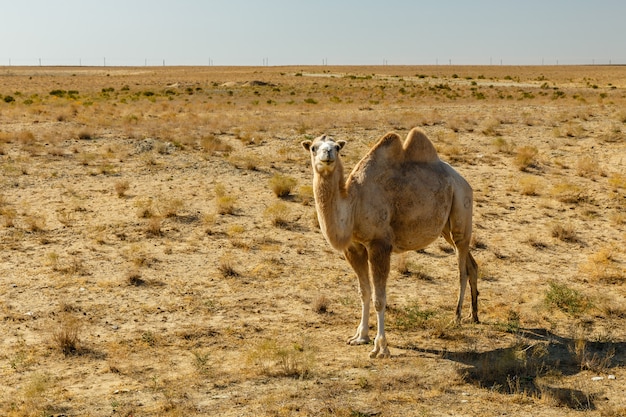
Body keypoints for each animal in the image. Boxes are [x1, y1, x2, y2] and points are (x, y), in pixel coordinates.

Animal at [302, 127, 478, 358]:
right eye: (313, 147)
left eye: (337, 147)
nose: (327, 153)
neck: (353, 205)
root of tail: (464, 181)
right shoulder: (354, 247)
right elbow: (364, 292)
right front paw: (360, 337)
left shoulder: (380, 245)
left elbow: (379, 299)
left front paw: (380, 348)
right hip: (445, 228)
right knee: (471, 263)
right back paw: (474, 316)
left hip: (461, 209)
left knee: (461, 269)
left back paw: (456, 317)